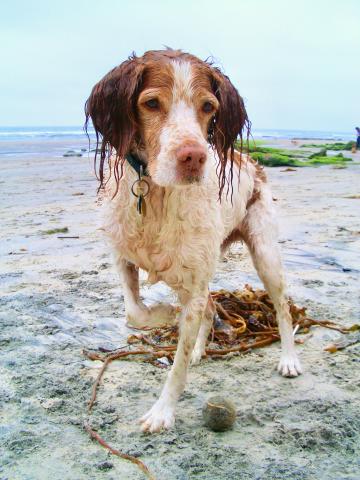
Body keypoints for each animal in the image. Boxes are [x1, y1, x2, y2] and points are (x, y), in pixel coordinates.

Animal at [84, 49, 300, 436]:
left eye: (208, 106)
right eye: (151, 103)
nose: (195, 157)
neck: (156, 194)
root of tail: (252, 161)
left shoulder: (194, 283)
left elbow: (177, 363)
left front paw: (162, 412)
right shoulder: (124, 258)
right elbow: (135, 312)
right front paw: (166, 313)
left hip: (265, 255)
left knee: (282, 307)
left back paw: (289, 358)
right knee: (212, 307)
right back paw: (200, 346)